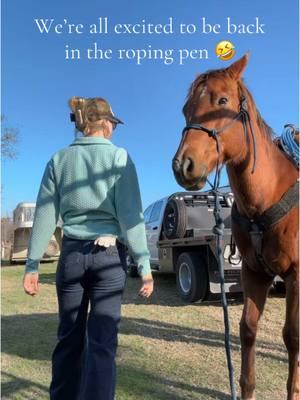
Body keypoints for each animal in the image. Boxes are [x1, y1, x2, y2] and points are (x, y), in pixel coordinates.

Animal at [172, 54, 298, 400]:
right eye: (186, 109)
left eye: (223, 101)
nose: (183, 165)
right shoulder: (253, 273)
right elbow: (247, 330)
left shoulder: (296, 275)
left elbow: (293, 336)